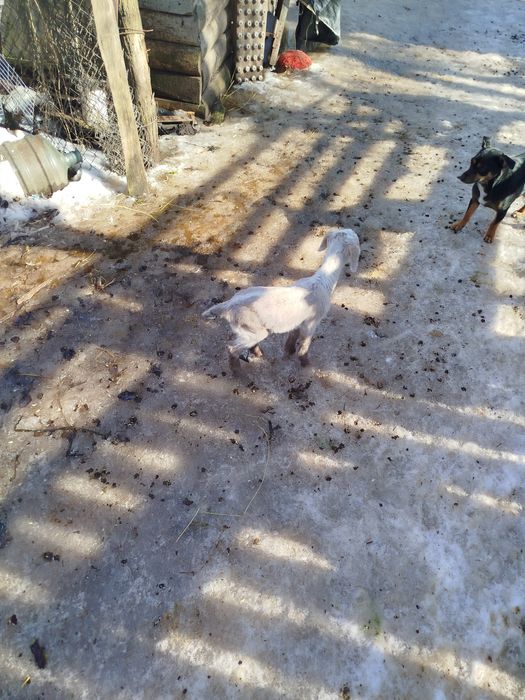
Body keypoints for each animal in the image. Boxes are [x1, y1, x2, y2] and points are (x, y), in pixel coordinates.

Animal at [202, 228, 361, 373]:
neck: (322, 281)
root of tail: (228, 305)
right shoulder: (311, 323)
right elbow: (304, 346)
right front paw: (307, 365)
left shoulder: (298, 321)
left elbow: (292, 338)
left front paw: (288, 351)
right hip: (252, 327)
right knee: (232, 348)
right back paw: (238, 372)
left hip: (246, 330)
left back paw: (258, 353)